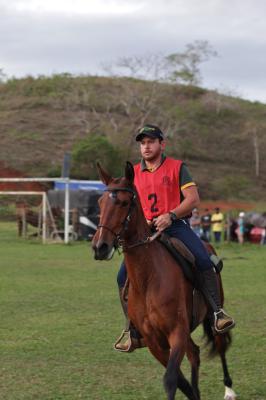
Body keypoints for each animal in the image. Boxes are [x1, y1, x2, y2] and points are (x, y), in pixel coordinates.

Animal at [92, 162, 237, 400]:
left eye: (123, 202)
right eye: (100, 203)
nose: (99, 247)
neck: (148, 279)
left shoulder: (176, 332)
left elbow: (170, 380)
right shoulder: (154, 342)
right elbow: (179, 380)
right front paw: (193, 393)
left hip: (213, 315)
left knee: (220, 343)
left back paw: (229, 389)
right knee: (195, 353)